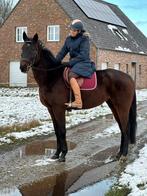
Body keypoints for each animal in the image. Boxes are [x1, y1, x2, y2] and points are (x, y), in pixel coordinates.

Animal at [19, 32, 137, 162]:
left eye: (33, 50)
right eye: (22, 48)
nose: (22, 67)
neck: (51, 77)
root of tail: (129, 78)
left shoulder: (59, 108)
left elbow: (62, 130)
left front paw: (63, 155)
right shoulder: (51, 109)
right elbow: (56, 131)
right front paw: (56, 154)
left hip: (122, 108)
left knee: (125, 128)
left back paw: (124, 155)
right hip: (114, 106)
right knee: (121, 127)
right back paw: (119, 154)